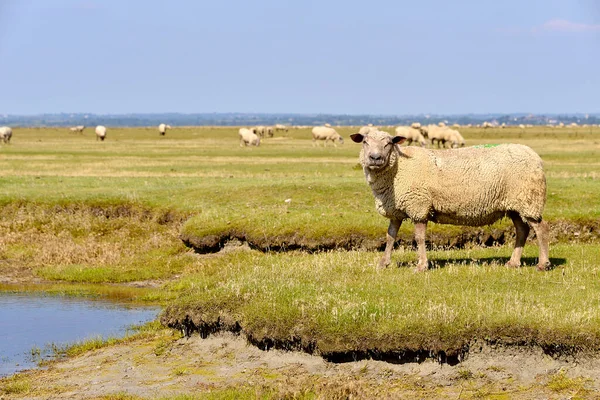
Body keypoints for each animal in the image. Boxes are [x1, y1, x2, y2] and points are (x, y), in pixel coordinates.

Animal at [350, 130, 552, 274]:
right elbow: (390, 237)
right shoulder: (397, 210)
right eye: (365, 142)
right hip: (514, 205)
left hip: (529, 200)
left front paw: (421, 266)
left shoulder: (419, 205)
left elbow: (419, 238)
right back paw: (513, 263)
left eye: (389, 143)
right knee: (522, 230)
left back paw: (543, 264)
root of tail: (535, 156)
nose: (375, 158)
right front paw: (383, 263)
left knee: (541, 229)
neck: (398, 169)